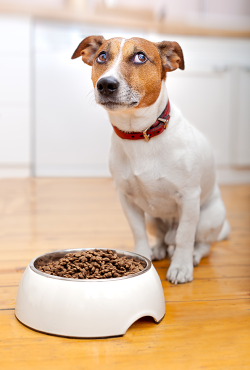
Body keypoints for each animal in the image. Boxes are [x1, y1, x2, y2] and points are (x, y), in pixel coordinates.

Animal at [71, 35, 229, 284]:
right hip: (152, 219)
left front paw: (181, 267)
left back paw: (193, 255)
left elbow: (185, 236)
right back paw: (158, 249)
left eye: (140, 57)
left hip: (207, 219)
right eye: (102, 56)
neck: (140, 134)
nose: (106, 84)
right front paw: (142, 257)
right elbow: (138, 233)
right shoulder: (127, 199)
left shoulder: (189, 198)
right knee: (164, 239)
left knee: (201, 243)